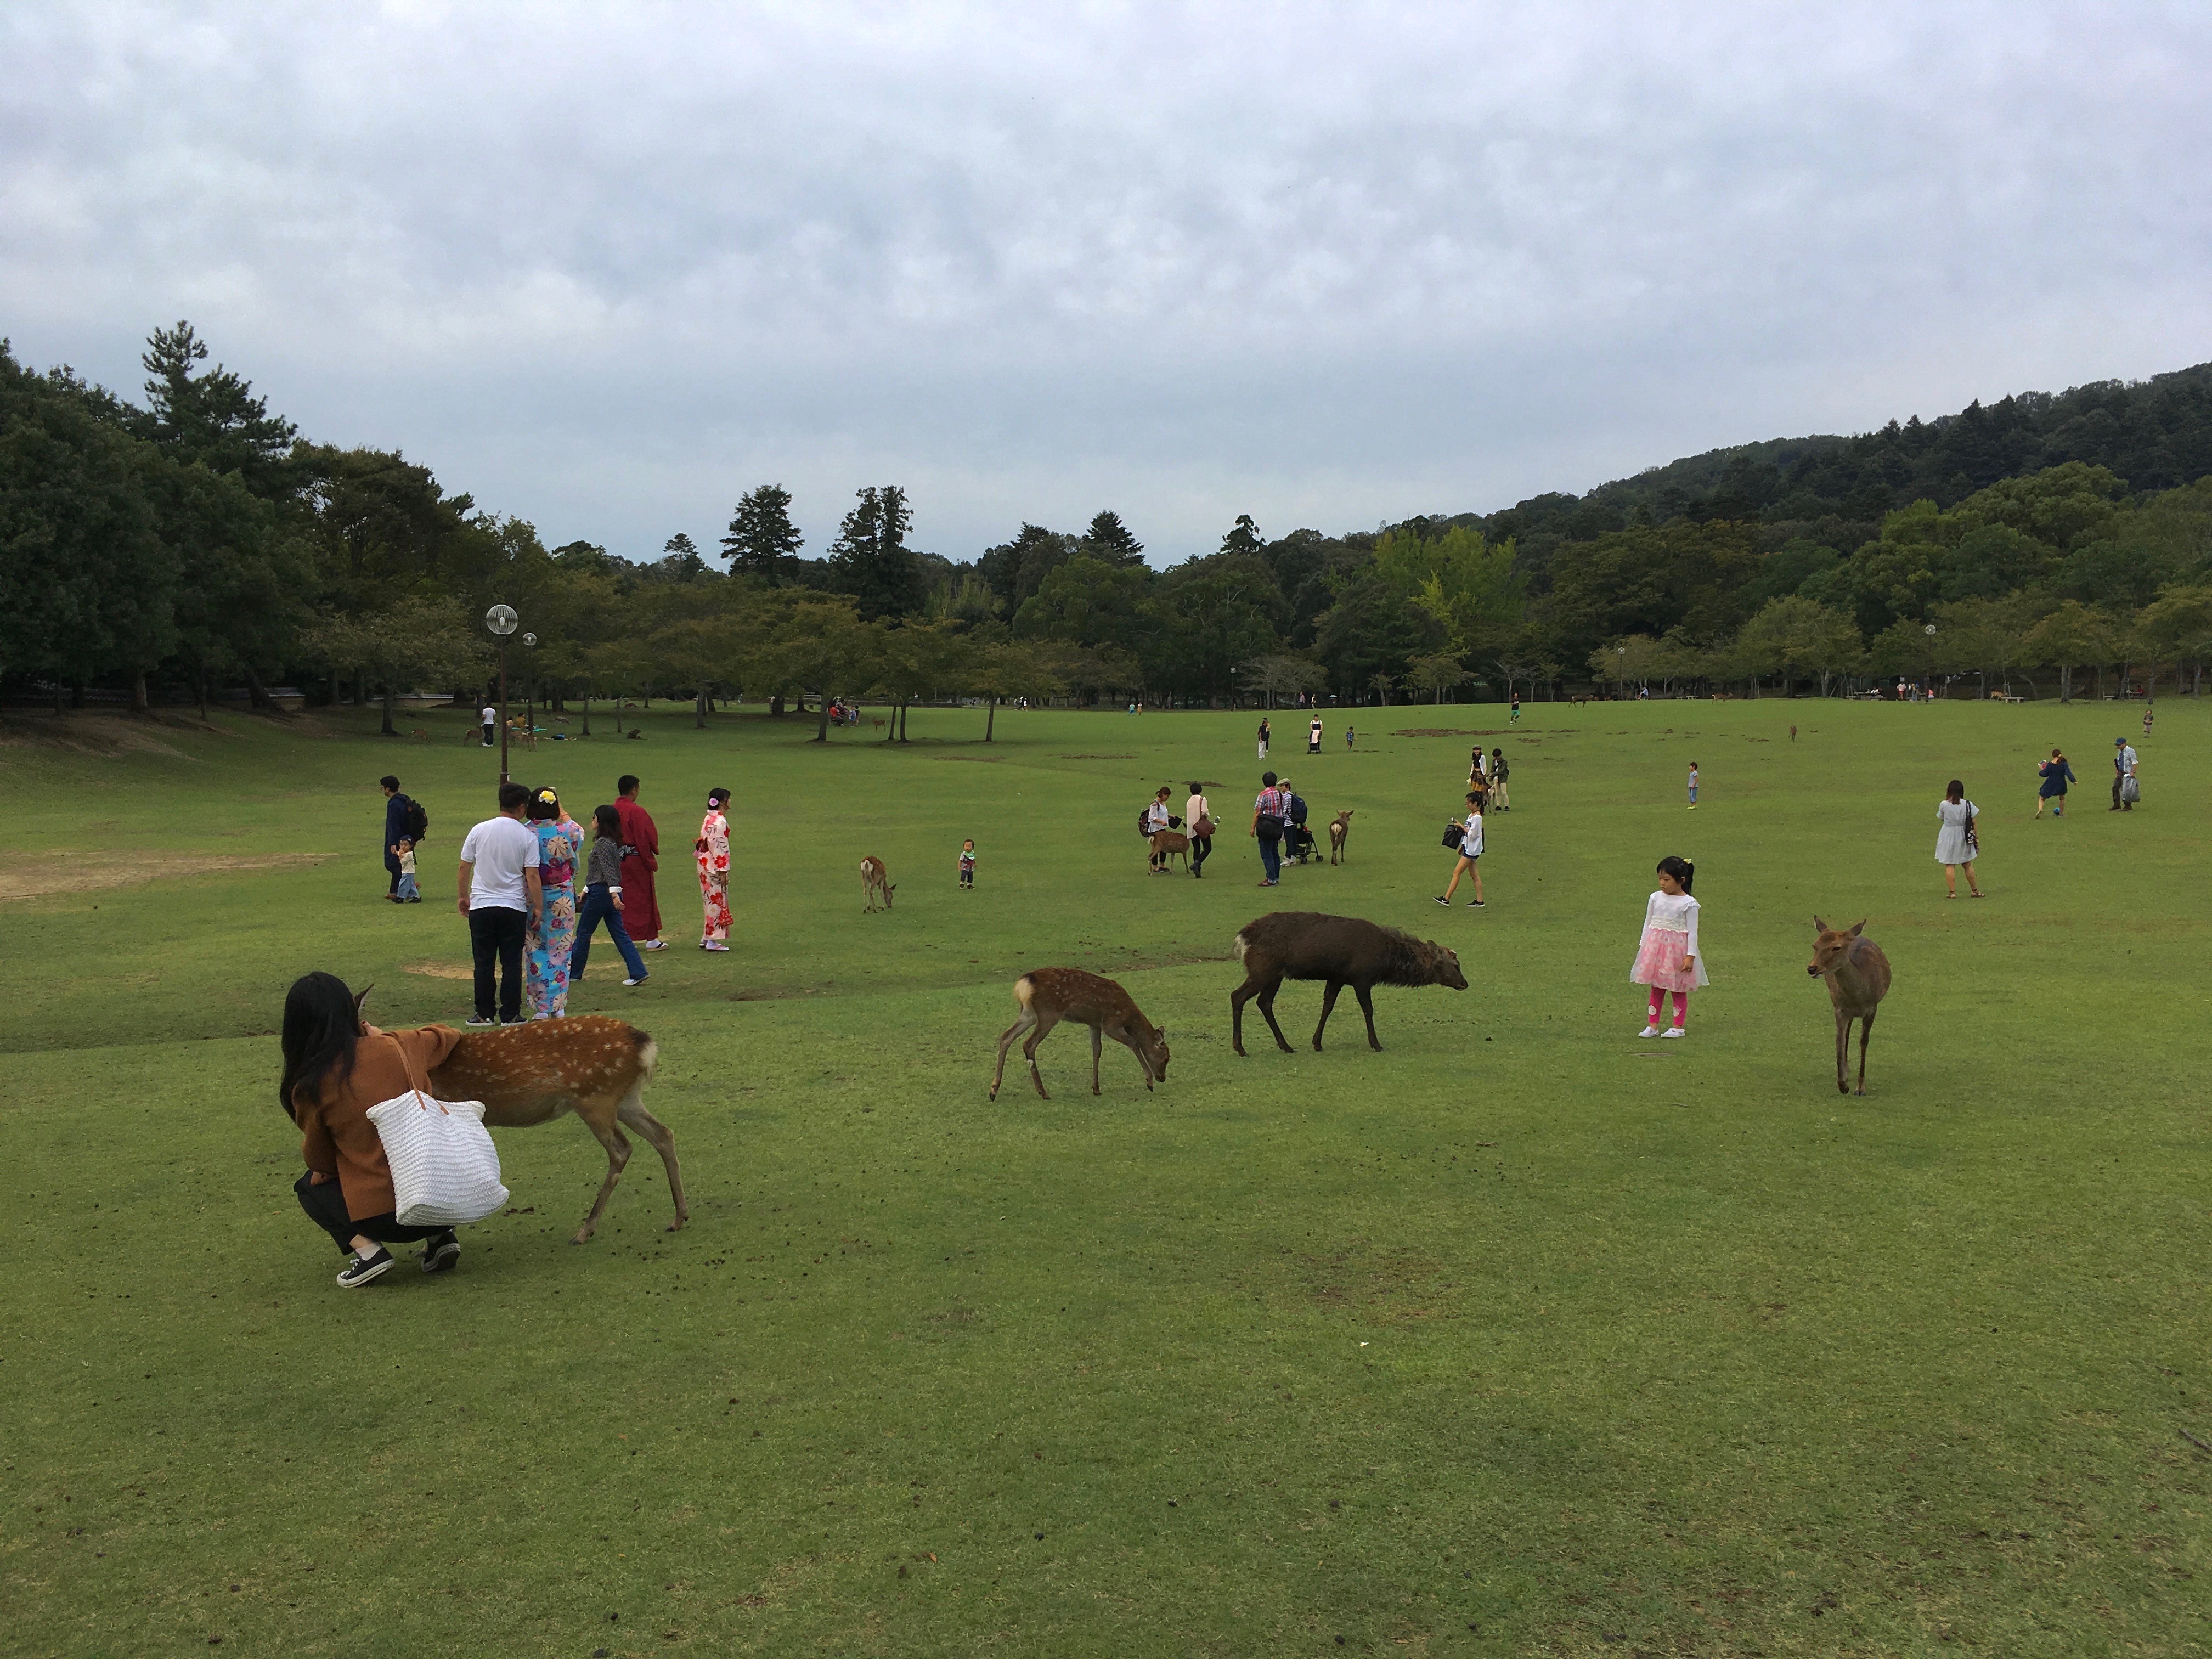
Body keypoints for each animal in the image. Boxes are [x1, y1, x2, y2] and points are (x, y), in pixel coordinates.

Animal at [356, 989, 683, 1244]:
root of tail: (645, 1046)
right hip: (626, 1098)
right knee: (663, 1134)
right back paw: (679, 1217)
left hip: (595, 1097)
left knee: (622, 1149)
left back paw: (584, 1231)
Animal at [990, 968, 1170, 1101]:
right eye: (1167, 1057)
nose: (1162, 1078)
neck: (1129, 1017)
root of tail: (1025, 983)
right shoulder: (1111, 1023)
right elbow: (1134, 1043)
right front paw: (1149, 1081)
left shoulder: (1094, 1024)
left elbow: (1097, 1050)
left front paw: (1096, 1088)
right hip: (1048, 1014)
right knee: (1029, 1044)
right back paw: (1043, 1092)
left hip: (1029, 1014)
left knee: (1006, 1037)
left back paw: (993, 1091)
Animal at [1230, 912, 1466, 1056]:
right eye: (1456, 965)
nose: (1465, 984)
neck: (1385, 961)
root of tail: (1242, 937)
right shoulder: (1362, 978)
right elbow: (1368, 1010)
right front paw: (1376, 1044)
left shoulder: (1337, 978)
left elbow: (1327, 1006)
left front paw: (1317, 1042)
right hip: (1263, 970)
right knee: (1238, 996)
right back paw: (1241, 1048)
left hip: (1274, 975)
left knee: (1264, 1002)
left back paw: (1285, 1046)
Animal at [1808, 918, 1891, 1096]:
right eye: (1815, 945)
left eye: (1837, 947)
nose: (1812, 968)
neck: (1858, 998)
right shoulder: (1839, 1008)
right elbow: (1839, 1040)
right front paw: (1843, 1084)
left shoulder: (1872, 1008)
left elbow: (1864, 1042)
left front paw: (1860, 1088)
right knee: (1846, 1034)